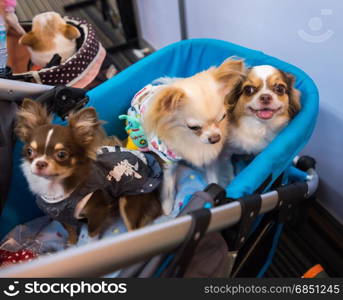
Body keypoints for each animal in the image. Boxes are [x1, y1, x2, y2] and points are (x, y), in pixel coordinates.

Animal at [14, 99, 163, 243]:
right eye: (29, 151)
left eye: (61, 155)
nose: (40, 163)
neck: (55, 190)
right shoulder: (60, 216)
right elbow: (70, 230)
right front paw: (71, 244)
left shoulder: (97, 211)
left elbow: (92, 233)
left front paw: (90, 245)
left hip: (128, 201)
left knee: (134, 228)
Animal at [125, 58, 245, 213]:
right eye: (194, 127)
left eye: (223, 117)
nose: (215, 138)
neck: (190, 138)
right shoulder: (168, 160)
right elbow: (169, 186)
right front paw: (167, 209)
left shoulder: (209, 156)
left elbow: (213, 178)